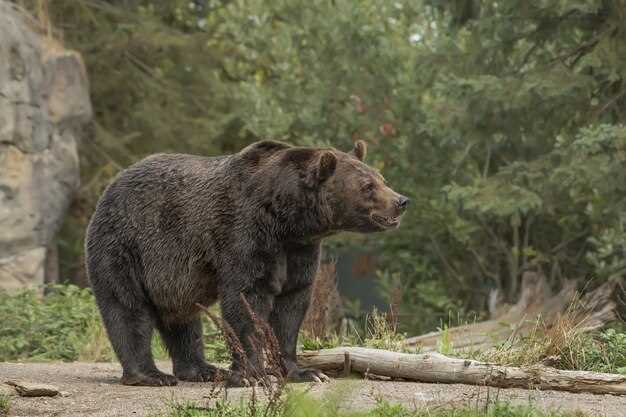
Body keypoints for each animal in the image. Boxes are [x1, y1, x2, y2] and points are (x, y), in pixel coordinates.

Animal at [85, 141, 408, 386]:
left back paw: (203, 369)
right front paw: (253, 374)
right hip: (126, 246)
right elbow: (246, 300)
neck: (287, 219)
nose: (401, 201)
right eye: (367, 186)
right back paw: (151, 375)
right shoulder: (246, 234)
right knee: (127, 308)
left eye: (382, 178)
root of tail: (110, 186)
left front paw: (304, 372)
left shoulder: (299, 251)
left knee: (183, 319)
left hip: (172, 277)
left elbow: (292, 306)